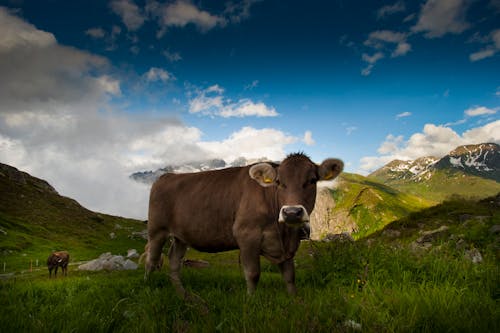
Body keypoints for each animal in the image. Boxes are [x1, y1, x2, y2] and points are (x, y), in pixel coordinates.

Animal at [145, 152, 344, 294]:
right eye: (278, 182)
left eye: (312, 180)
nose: (292, 212)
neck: (283, 233)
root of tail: (166, 176)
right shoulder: (247, 235)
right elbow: (253, 274)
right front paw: (250, 302)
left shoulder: (288, 246)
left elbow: (289, 276)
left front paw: (293, 300)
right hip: (157, 230)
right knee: (151, 260)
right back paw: (148, 287)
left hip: (181, 236)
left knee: (174, 261)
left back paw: (182, 293)